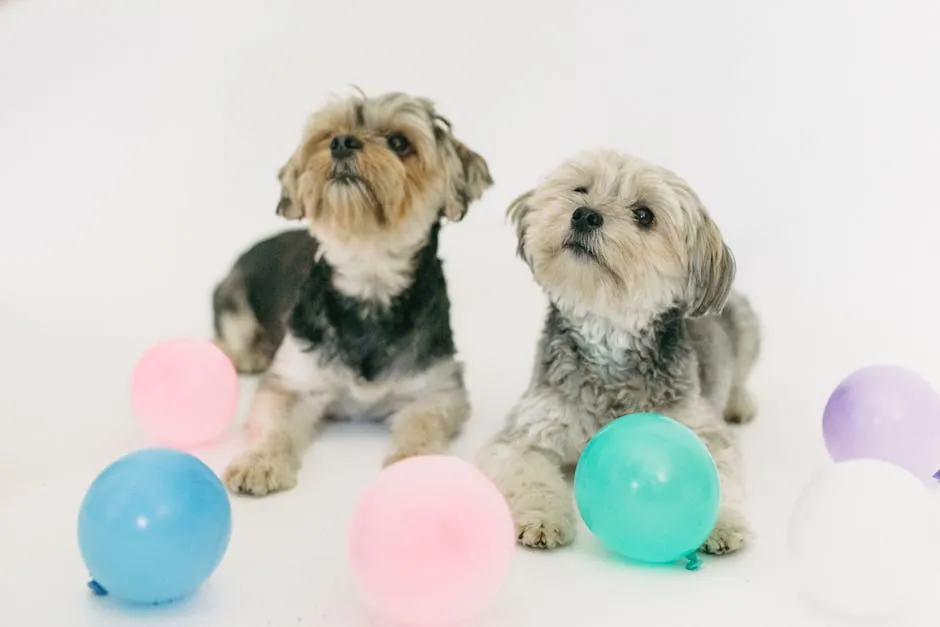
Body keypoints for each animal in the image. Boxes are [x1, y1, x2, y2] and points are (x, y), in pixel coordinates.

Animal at [212, 91, 492, 498]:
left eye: (399, 142)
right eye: (329, 134)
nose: (341, 143)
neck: (368, 282)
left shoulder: (439, 387)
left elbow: (424, 424)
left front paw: (417, 467)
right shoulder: (292, 380)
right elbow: (274, 423)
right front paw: (260, 462)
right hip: (233, 295)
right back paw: (249, 354)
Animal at [482, 151, 760, 556]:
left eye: (644, 215)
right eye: (580, 189)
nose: (584, 214)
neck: (608, 337)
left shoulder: (702, 431)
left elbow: (719, 473)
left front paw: (718, 524)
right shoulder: (525, 435)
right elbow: (529, 475)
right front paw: (542, 518)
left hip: (748, 326)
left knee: (740, 376)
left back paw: (741, 404)